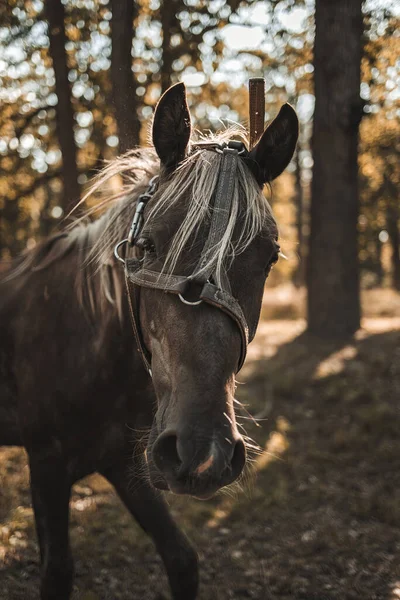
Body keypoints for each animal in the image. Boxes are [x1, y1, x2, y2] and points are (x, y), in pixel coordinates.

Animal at [0, 83, 296, 600]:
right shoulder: (47, 465)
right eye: (150, 244)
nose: (203, 452)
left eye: (269, 257)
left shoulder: (125, 464)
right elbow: (57, 572)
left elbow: (181, 559)